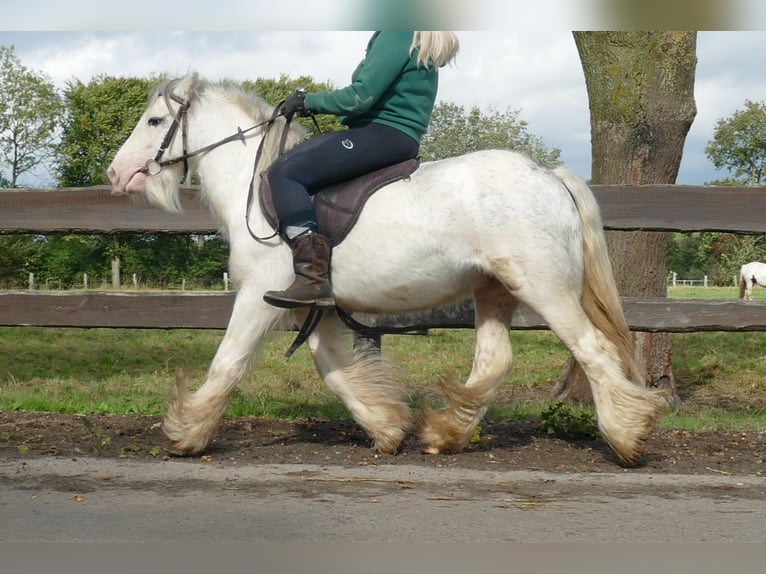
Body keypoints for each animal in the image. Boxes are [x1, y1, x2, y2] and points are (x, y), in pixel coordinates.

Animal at [106, 73, 664, 468]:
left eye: (153, 122)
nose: (116, 173)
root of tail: (548, 174)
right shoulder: (316, 306)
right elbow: (334, 369)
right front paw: (387, 427)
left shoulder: (259, 296)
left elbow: (228, 362)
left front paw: (185, 435)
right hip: (493, 289)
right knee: (494, 360)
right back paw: (444, 434)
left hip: (545, 288)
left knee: (593, 351)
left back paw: (627, 438)